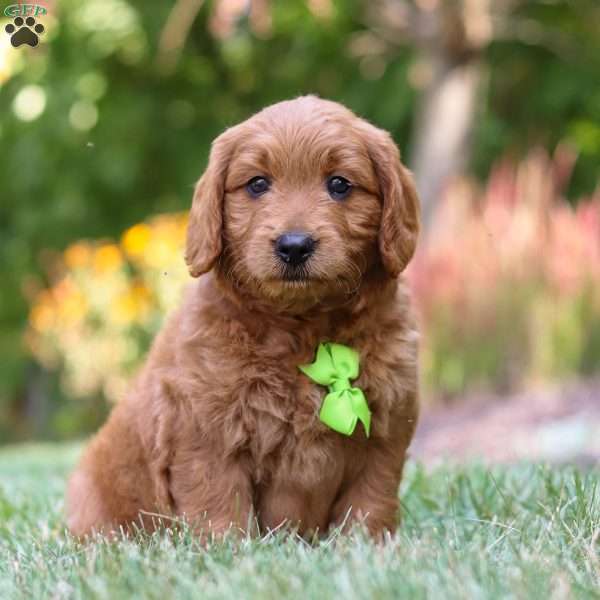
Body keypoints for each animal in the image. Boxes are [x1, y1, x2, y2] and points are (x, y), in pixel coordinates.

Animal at [65, 95, 420, 540]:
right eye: (257, 184)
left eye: (340, 184)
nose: (294, 246)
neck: (304, 331)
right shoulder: (203, 430)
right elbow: (219, 503)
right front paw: (229, 550)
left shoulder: (387, 431)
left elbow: (371, 501)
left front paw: (367, 546)